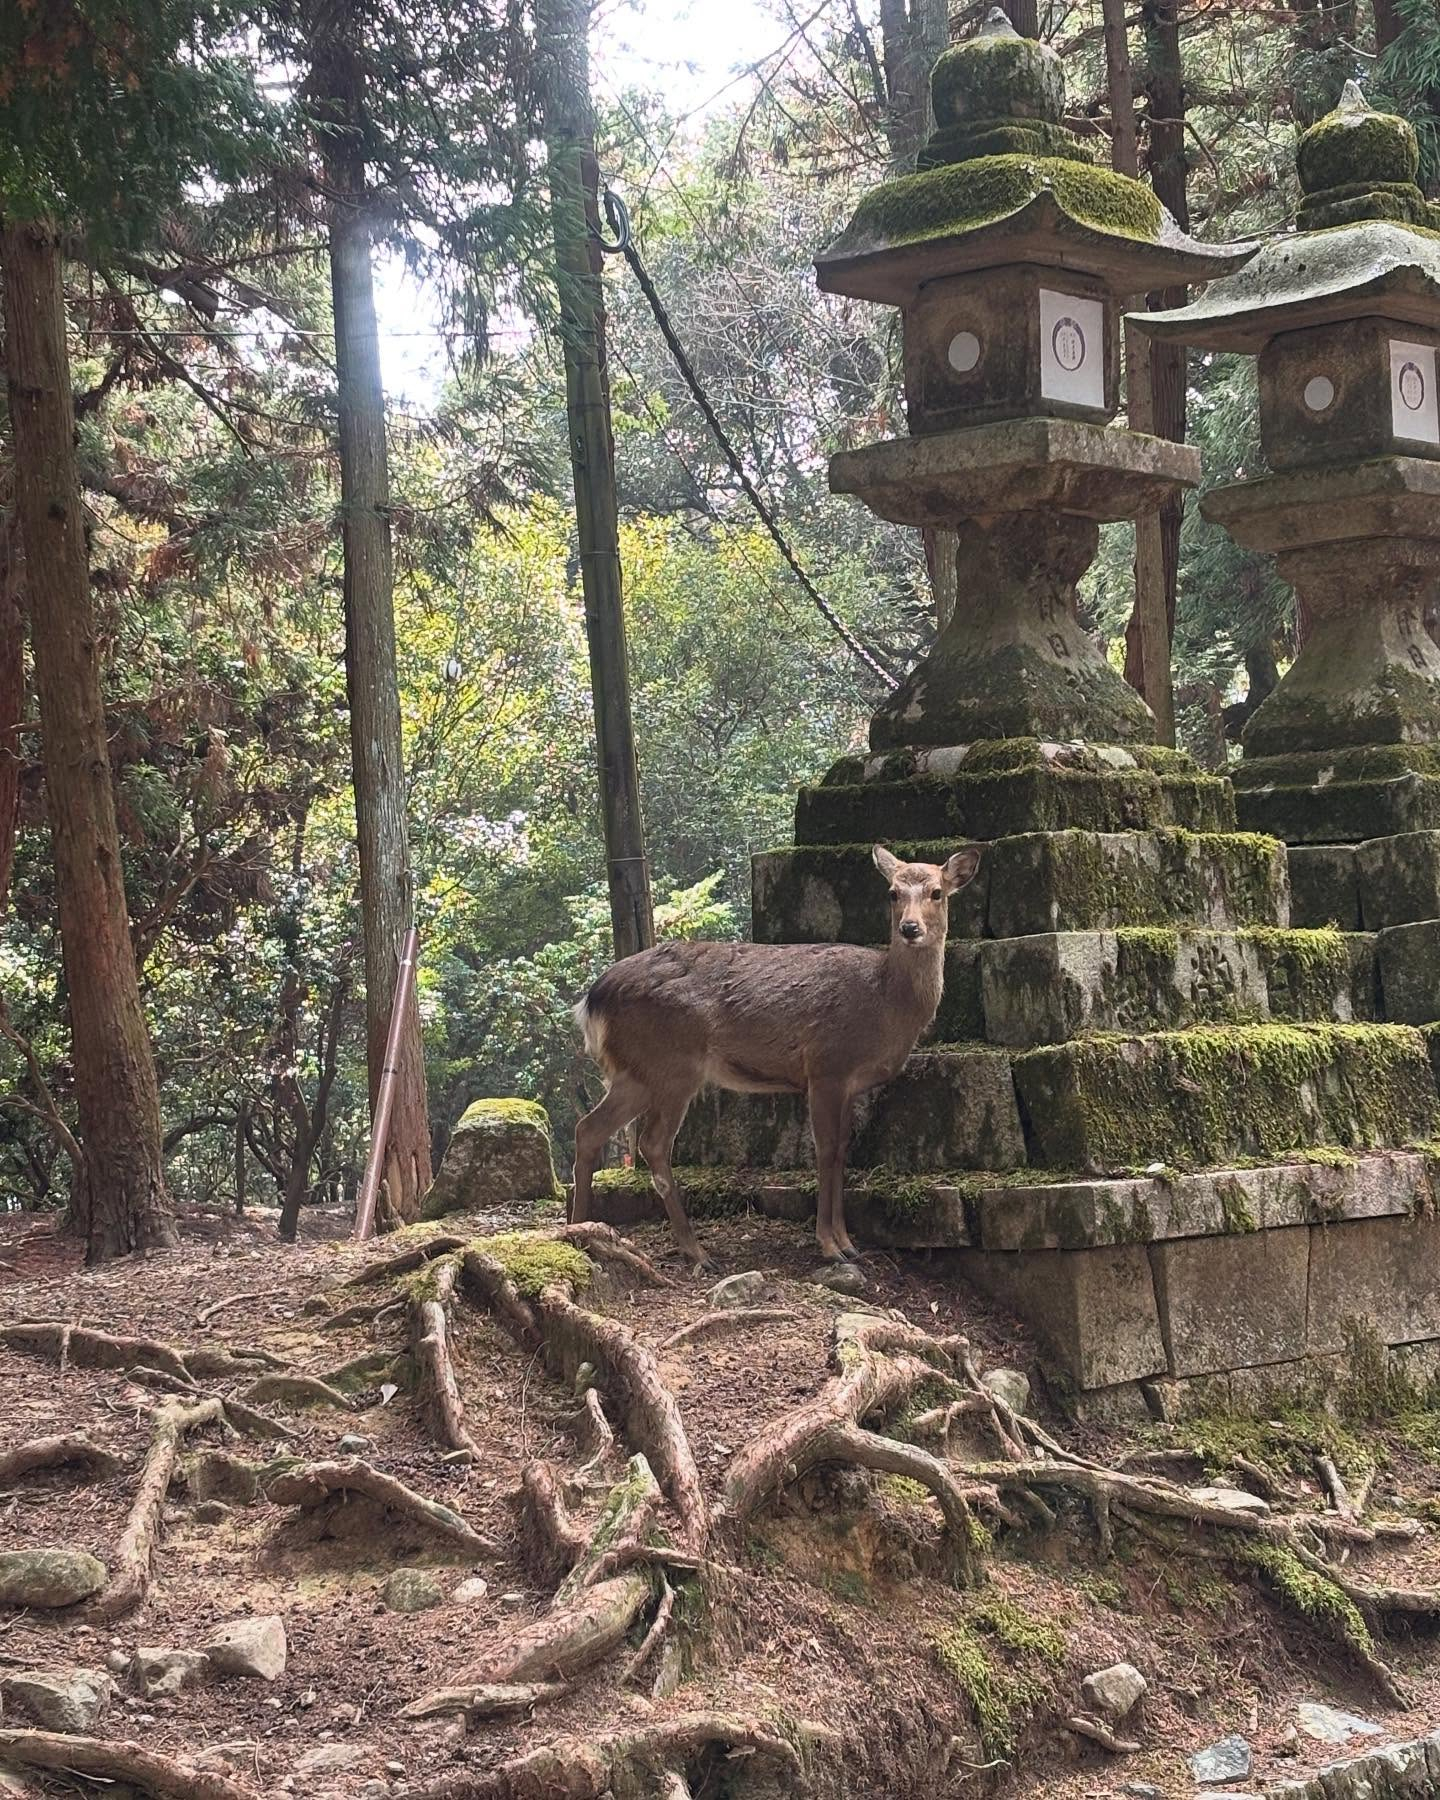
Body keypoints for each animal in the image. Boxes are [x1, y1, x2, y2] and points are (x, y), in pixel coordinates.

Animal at [572, 842, 979, 1267]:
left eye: (937, 892)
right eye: (893, 893)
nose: (910, 929)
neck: (885, 1004)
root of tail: (590, 1002)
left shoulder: (849, 1083)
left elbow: (842, 1151)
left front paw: (849, 1243)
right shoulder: (826, 1066)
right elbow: (826, 1151)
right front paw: (831, 1246)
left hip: (636, 1072)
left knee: (589, 1129)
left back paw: (579, 1230)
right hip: (673, 1065)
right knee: (651, 1143)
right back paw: (696, 1251)